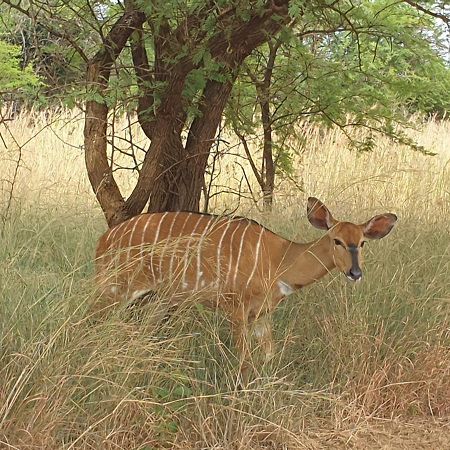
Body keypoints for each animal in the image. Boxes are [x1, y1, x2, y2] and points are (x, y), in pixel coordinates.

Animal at [93, 197, 396, 380]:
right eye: (337, 241)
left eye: (362, 242)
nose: (355, 273)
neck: (279, 259)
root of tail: (104, 239)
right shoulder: (236, 309)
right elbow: (245, 360)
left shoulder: (262, 314)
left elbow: (269, 355)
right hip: (114, 289)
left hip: (155, 298)